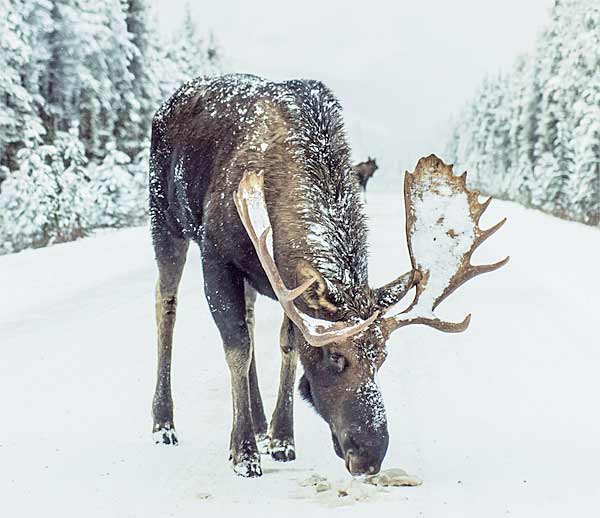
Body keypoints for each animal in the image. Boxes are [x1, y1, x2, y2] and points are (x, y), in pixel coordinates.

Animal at [149, 73, 506, 480]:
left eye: (382, 356)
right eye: (336, 356)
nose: (369, 456)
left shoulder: (284, 281)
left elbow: (287, 345)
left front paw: (282, 438)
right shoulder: (216, 253)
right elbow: (236, 346)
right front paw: (244, 453)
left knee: (250, 318)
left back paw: (259, 421)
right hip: (165, 219)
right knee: (166, 304)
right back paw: (164, 424)